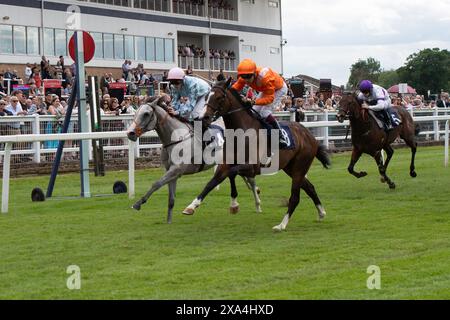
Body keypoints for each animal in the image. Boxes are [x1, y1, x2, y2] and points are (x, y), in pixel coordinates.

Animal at [125, 96, 264, 224]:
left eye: (146, 114)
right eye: (136, 113)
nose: (130, 133)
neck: (176, 138)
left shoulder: (177, 169)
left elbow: (156, 184)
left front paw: (137, 203)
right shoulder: (172, 171)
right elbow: (171, 199)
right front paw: (169, 222)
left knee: (249, 178)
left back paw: (257, 203)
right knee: (244, 176)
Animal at [182, 79, 330, 231]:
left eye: (219, 97)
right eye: (206, 97)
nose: (203, 118)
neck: (241, 132)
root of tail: (310, 135)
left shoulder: (252, 167)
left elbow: (232, 173)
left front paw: (235, 204)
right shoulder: (226, 164)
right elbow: (212, 182)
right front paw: (192, 206)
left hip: (299, 167)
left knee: (295, 197)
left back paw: (281, 225)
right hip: (291, 168)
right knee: (310, 188)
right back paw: (321, 213)